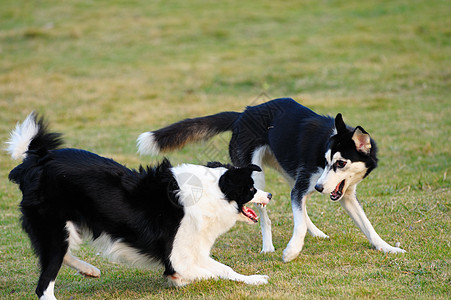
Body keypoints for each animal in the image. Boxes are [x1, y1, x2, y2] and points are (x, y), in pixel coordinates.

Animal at [7, 113, 272, 300]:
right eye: (251, 188)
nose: (269, 195)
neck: (213, 191)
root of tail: (35, 160)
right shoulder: (178, 258)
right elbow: (209, 274)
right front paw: (180, 281)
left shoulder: (195, 251)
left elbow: (226, 270)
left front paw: (254, 279)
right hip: (54, 228)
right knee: (44, 285)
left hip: (67, 227)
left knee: (61, 255)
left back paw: (88, 270)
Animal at [137, 98, 406, 262]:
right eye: (326, 160)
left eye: (340, 163)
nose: (319, 187)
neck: (327, 140)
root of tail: (243, 114)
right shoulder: (304, 185)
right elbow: (297, 222)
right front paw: (292, 251)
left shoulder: (345, 194)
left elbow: (367, 225)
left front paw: (386, 247)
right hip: (256, 178)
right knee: (265, 215)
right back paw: (268, 247)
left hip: (287, 171)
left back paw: (315, 231)